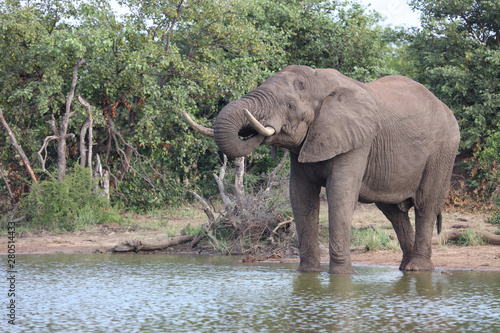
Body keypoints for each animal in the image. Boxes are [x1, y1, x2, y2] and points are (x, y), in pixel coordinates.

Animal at [185, 64, 460, 272]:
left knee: (425, 205)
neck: (320, 82)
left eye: (289, 106)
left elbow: (340, 195)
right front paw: (307, 274)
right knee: (393, 212)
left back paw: (417, 269)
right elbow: (300, 197)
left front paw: (340, 276)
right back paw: (405, 268)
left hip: (443, 151)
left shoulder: (357, 141)